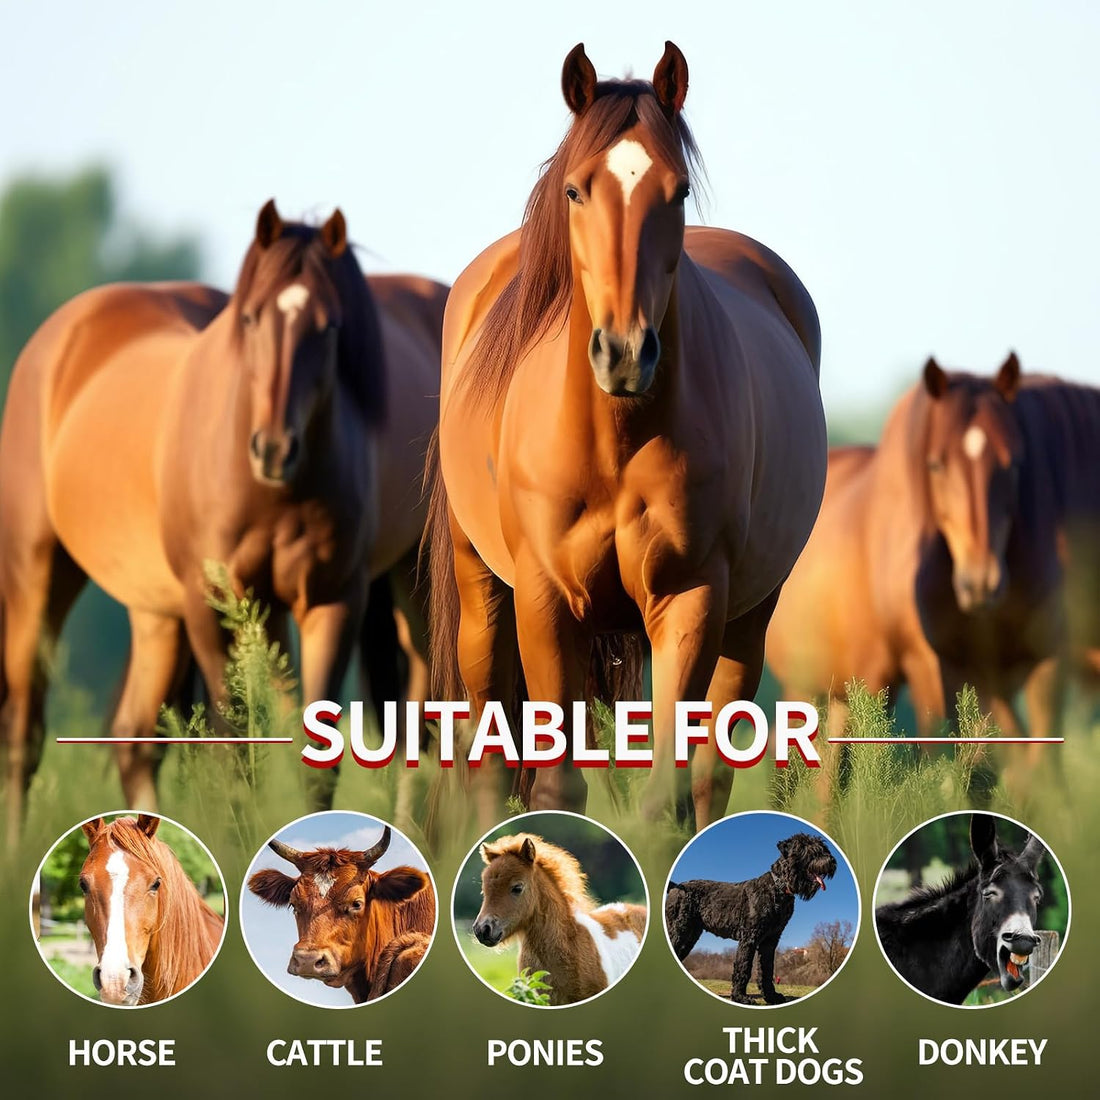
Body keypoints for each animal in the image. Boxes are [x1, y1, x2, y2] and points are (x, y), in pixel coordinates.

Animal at [0, 200, 445, 832]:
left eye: (330, 327)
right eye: (253, 319)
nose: (274, 449)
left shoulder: (331, 601)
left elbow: (313, 753)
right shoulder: (210, 606)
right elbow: (234, 752)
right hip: (38, 574)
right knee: (26, 732)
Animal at [427, 42, 826, 826]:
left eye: (677, 192)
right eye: (576, 191)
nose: (625, 352)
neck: (613, 439)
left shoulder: (691, 598)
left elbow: (666, 796)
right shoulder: (545, 602)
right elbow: (556, 789)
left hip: (748, 620)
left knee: (709, 777)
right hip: (480, 594)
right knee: (489, 762)